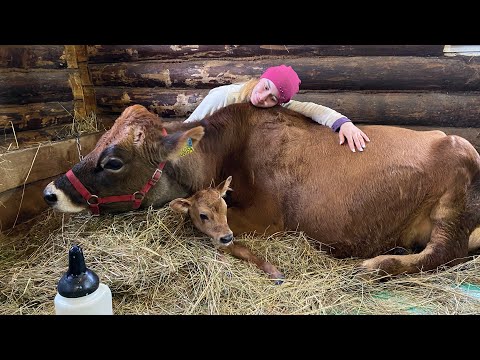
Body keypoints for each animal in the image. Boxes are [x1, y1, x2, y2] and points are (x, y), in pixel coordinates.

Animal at [43, 102, 480, 278]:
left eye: (113, 161)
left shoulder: (266, 219)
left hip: (453, 205)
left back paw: (375, 266)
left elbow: (195, 224)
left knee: (443, 253)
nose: (51, 191)